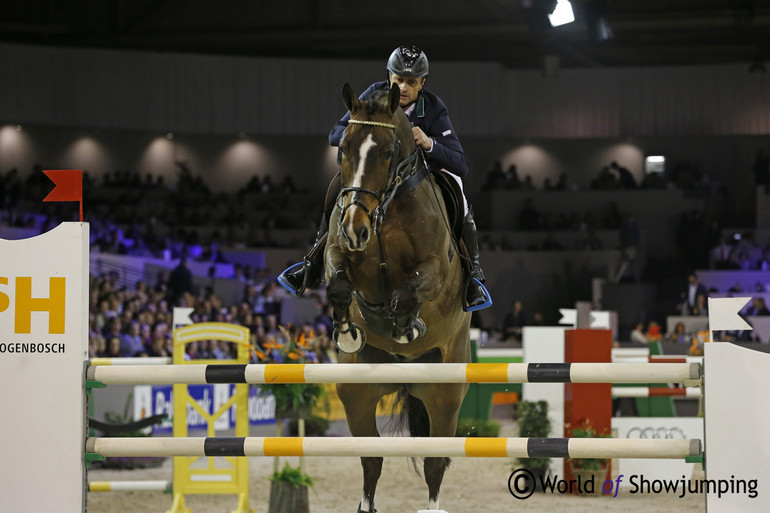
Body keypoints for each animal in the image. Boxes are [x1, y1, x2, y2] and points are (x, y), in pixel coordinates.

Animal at [322, 81, 472, 512]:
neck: (386, 209)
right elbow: (339, 284)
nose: (355, 228)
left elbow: (408, 294)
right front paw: (347, 329)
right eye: (344, 149)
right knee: (372, 458)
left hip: (445, 394)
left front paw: (406, 327)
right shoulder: (338, 255)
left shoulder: (437, 270)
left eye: (388, 153)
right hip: (356, 394)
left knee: (435, 461)